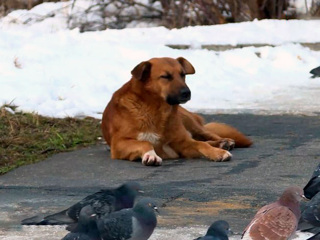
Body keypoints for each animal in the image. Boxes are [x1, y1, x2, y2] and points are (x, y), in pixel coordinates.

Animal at [101, 57, 251, 166]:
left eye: (183, 75)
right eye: (165, 76)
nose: (187, 92)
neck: (157, 109)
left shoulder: (182, 143)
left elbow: (201, 144)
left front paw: (217, 153)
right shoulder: (118, 144)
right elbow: (144, 142)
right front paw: (151, 155)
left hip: (189, 121)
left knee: (207, 135)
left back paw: (224, 143)